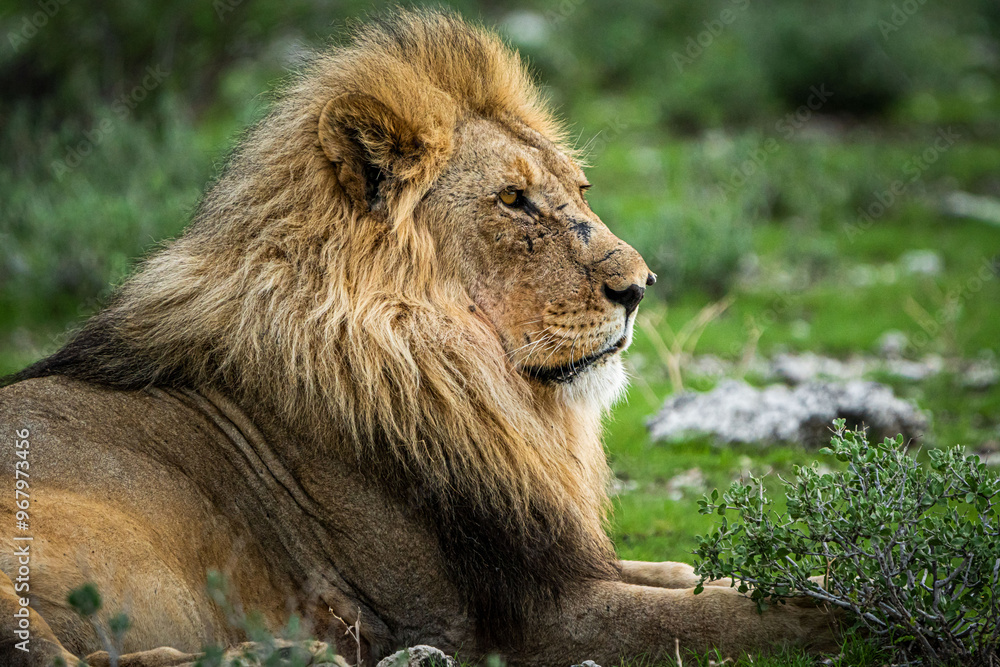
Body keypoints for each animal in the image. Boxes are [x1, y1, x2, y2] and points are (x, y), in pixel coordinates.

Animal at [0, 10, 838, 667]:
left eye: (580, 191)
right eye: (513, 199)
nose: (638, 288)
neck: (460, 373)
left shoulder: (550, 561)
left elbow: (698, 575)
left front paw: (831, 576)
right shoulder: (509, 618)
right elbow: (726, 614)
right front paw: (845, 613)